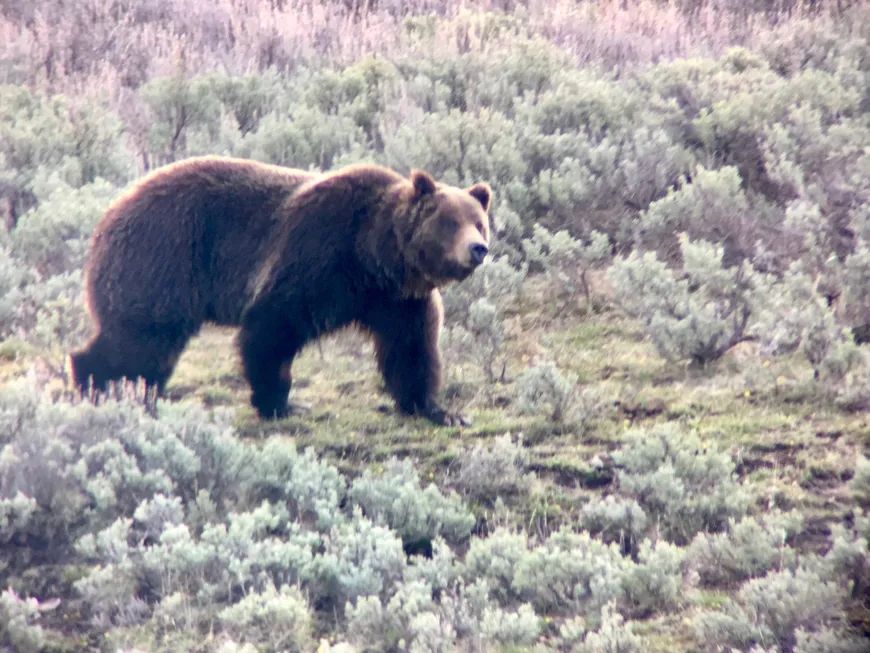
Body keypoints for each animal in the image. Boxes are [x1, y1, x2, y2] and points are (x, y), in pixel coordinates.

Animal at [70, 156, 493, 426]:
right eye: (450, 221)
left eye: (479, 221)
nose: (478, 248)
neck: (374, 256)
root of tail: (109, 213)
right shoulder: (320, 252)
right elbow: (273, 325)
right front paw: (281, 403)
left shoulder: (399, 300)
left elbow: (412, 350)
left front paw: (442, 411)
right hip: (163, 255)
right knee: (142, 337)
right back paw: (98, 384)